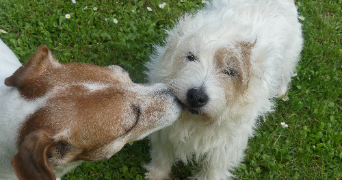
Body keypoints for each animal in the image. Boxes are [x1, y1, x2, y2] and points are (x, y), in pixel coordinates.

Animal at [144, 0, 302, 179]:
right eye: (191, 57)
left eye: (230, 71)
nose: (196, 96)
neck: (195, 122)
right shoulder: (165, 134)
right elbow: (161, 156)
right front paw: (156, 174)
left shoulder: (222, 152)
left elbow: (211, 172)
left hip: (289, 57)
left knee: (285, 73)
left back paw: (280, 91)